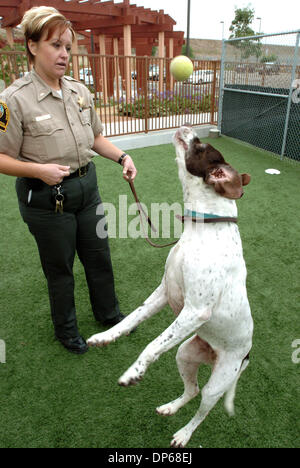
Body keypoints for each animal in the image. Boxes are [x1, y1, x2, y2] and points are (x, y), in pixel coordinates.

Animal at [88, 126, 253, 448]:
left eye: (200, 146)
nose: (186, 126)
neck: (204, 228)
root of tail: (247, 355)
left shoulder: (195, 311)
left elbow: (152, 345)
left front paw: (133, 373)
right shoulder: (163, 292)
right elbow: (130, 320)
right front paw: (105, 336)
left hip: (220, 380)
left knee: (203, 407)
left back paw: (184, 434)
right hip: (185, 355)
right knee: (191, 390)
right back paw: (170, 408)